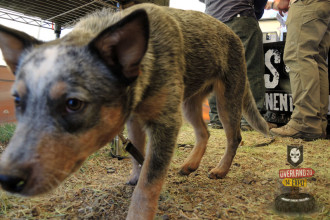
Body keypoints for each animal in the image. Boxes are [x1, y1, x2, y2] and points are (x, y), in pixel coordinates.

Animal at [0, 3, 268, 220]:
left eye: (73, 103)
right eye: (17, 100)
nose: (6, 179)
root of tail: (233, 35)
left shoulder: (166, 124)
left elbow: (148, 185)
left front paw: (139, 211)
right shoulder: (134, 119)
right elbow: (137, 154)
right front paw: (135, 175)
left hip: (228, 99)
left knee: (234, 137)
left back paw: (221, 169)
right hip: (190, 103)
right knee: (204, 133)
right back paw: (190, 165)